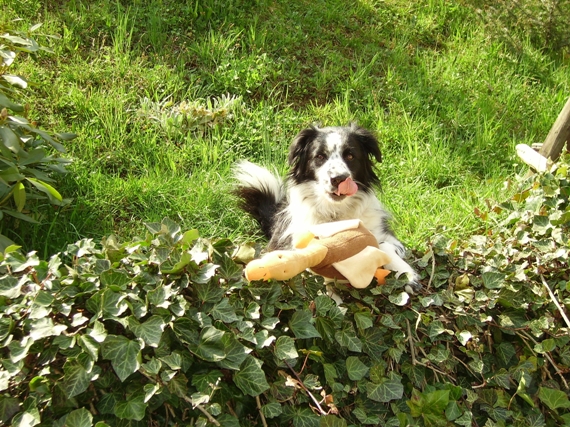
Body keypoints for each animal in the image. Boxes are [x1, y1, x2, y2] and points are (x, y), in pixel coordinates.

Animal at [233, 122, 420, 292]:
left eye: (350, 156)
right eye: (320, 157)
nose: (339, 179)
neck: (334, 213)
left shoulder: (380, 232)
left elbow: (384, 246)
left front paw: (407, 274)